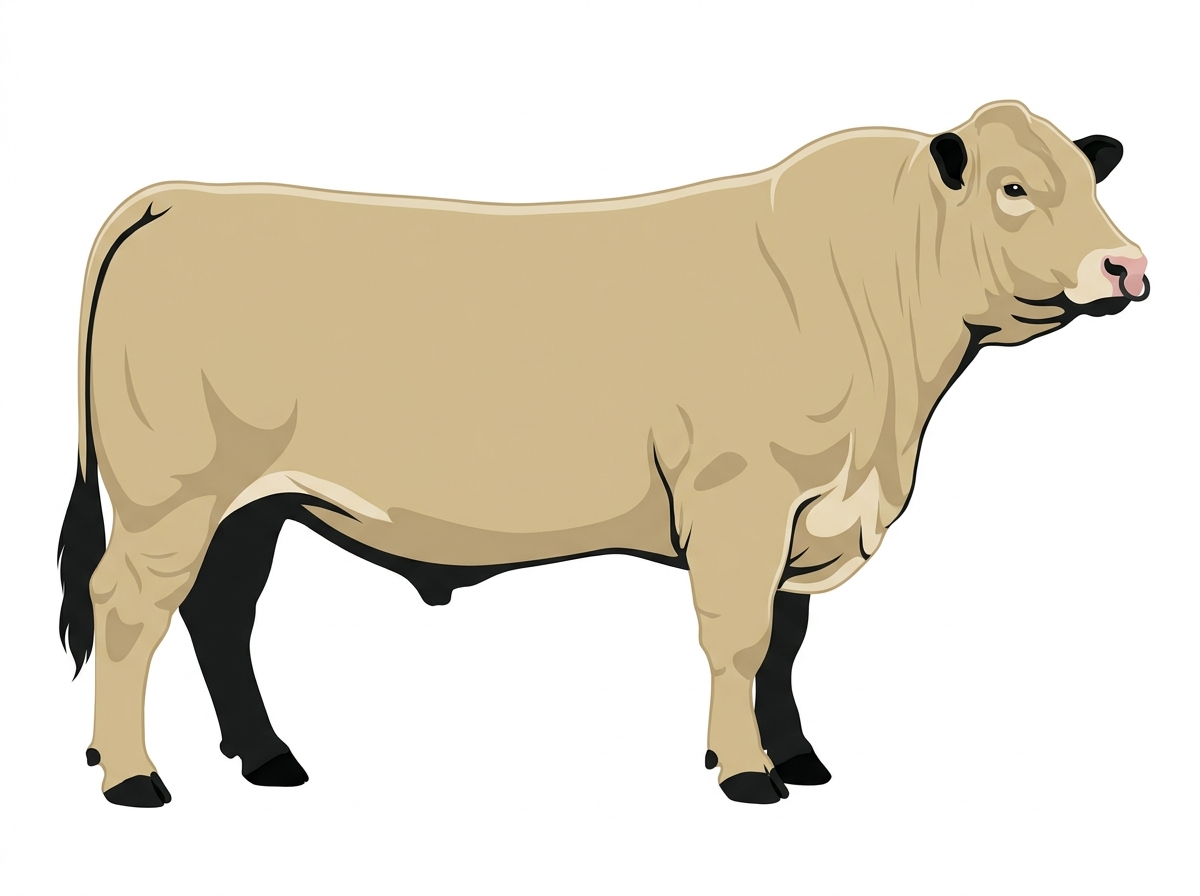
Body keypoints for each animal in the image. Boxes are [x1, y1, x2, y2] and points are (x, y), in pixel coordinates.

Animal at [57, 100, 1147, 807]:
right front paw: (747, 772)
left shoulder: (804, 514)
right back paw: (133, 775)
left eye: (1091, 179)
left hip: (252, 504)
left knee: (220, 612)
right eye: (1014, 187)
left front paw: (795, 755)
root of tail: (180, 195)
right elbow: (741, 639)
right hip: (172, 494)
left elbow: (787, 643)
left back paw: (265, 756)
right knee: (129, 608)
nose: (1127, 264)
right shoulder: (743, 501)